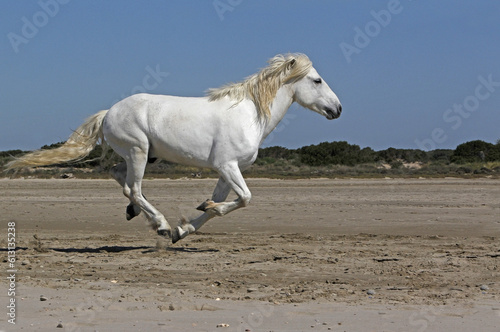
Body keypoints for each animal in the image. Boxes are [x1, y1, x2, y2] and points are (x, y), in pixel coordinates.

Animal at [5, 52, 342, 244]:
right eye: (317, 80)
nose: (337, 109)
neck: (250, 114)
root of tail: (108, 113)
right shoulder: (227, 166)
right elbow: (244, 198)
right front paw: (187, 221)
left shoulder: (227, 171)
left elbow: (220, 205)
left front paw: (188, 226)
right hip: (139, 152)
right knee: (135, 187)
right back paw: (160, 224)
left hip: (143, 155)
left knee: (119, 177)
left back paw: (140, 215)